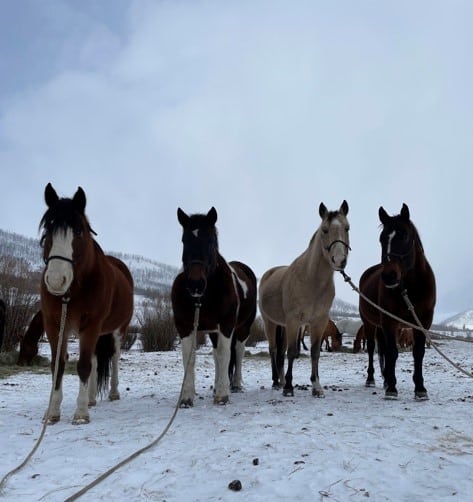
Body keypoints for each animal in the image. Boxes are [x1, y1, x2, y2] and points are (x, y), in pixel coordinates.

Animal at [38, 182, 135, 422]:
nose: (56, 280)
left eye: (78, 231)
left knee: (114, 357)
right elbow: (58, 366)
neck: (74, 289)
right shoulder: (54, 325)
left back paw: (113, 393)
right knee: (94, 359)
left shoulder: (91, 325)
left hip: (117, 330)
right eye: (47, 230)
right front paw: (52, 412)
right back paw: (91, 398)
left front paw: (80, 413)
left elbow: (82, 366)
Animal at [171, 206, 256, 406]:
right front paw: (186, 397)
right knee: (217, 355)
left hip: (242, 328)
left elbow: (226, 354)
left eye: (210, 241)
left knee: (237, 352)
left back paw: (234, 385)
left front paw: (223, 395)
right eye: (184, 240)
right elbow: (190, 359)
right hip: (213, 331)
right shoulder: (185, 327)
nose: (196, 284)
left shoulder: (226, 325)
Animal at [256, 200, 348, 396]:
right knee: (273, 350)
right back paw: (277, 382)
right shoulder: (294, 321)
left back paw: (281, 380)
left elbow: (314, 352)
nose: (339, 260)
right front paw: (289, 388)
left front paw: (316, 386)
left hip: (283, 326)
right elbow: (292, 352)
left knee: (280, 353)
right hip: (270, 322)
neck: (311, 281)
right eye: (325, 230)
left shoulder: (318, 322)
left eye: (347, 228)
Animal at [358, 204, 436, 400]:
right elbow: (392, 352)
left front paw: (420, 388)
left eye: (405, 235)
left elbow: (418, 352)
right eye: (381, 239)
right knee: (372, 348)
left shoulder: (423, 321)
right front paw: (392, 388)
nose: (389, 276)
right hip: (370, 323)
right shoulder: (389, 321)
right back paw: (372, 379)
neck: (411, 288)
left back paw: (386, 379)